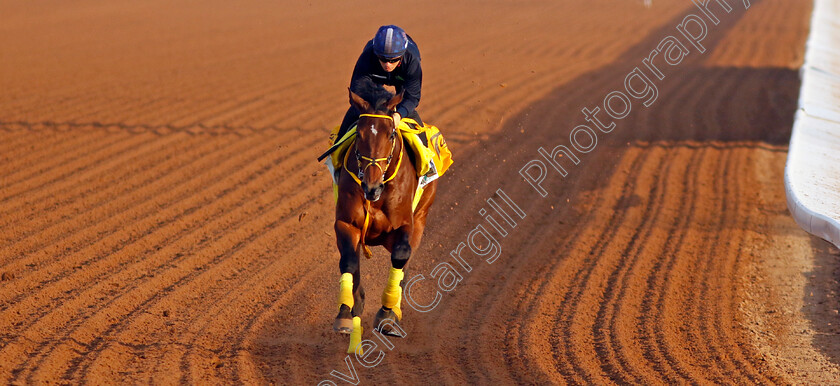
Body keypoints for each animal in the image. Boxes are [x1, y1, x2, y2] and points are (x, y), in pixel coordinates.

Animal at [334, 82, 440, 350]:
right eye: (359, 134)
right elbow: (349, 262)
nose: (371, 186)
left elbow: (401, 257)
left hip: (421, 217)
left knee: (405, 265)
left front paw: (387, 314)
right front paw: (346, 311)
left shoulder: (406, 225)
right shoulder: (345, 223)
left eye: (391, 134)